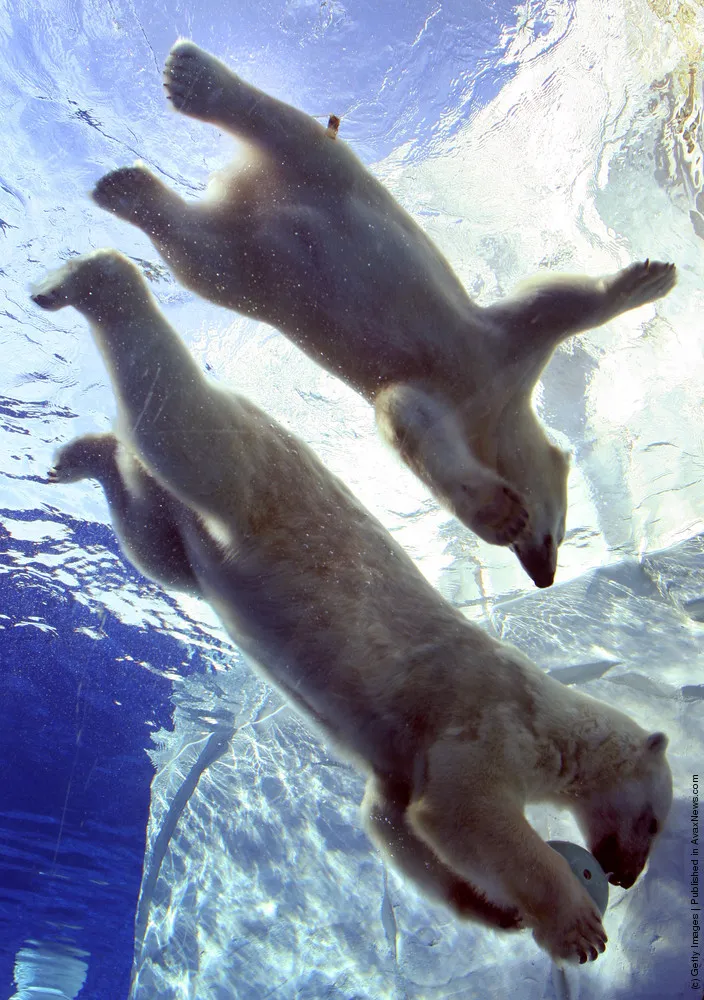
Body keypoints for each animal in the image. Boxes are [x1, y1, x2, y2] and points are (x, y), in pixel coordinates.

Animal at [31, 249, 672, 964]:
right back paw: (83, 282)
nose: (624, 875)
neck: (547, 709)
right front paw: (576, 927)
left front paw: (496, 911)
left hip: (184, 530)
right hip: (260, 479)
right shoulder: (491, 721)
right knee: (182, 428)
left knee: (155, 537)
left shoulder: (400, 761)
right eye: (654, 819)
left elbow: (393, 823)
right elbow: (464, 811)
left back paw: (78, 456)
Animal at [89, 39, 678, 588]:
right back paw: (193, 80)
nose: (543, 576)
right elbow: (536, 311)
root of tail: (245, 191)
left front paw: (652, 278)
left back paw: (125, 188)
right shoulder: (498, 352)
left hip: (248, 267)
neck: (491, 408)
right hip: (329, 173)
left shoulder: (493, 368)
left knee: (198, 252)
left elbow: (539, 311)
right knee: (286, 128)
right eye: (550, 532)